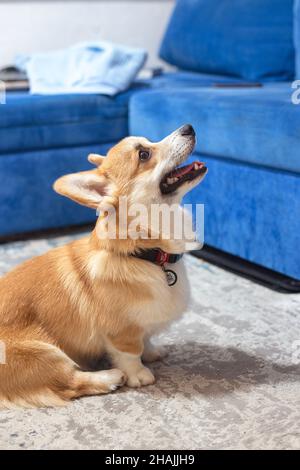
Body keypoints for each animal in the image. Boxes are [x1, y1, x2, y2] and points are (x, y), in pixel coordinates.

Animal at [0, 125, 206, 408]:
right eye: (143, 154)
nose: (189, 127)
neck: (144, 254)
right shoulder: (121, 330)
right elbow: (131, 352)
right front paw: (139, 374)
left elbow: (146, 338)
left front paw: (153, 352)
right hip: (43, 353)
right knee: (70, 383)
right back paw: (110, 377)